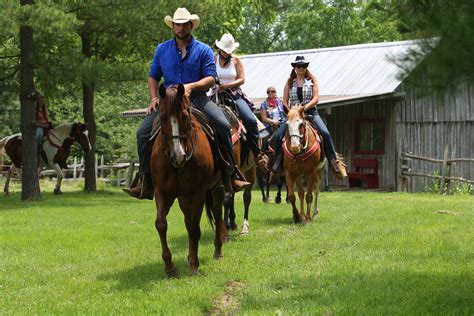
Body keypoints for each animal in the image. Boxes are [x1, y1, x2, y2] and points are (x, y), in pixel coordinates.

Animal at [150, 84, 228, 276]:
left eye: (185, 117)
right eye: (162, 117)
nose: (178, 156)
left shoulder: (198, 193)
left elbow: (194, 228)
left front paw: (194, 265)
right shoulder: (162, 192)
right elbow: (161, 224)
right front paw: (170, 267)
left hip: (216, 188)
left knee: (217, 214)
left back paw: (217, 250)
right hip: (183, 197)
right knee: (188, 219)